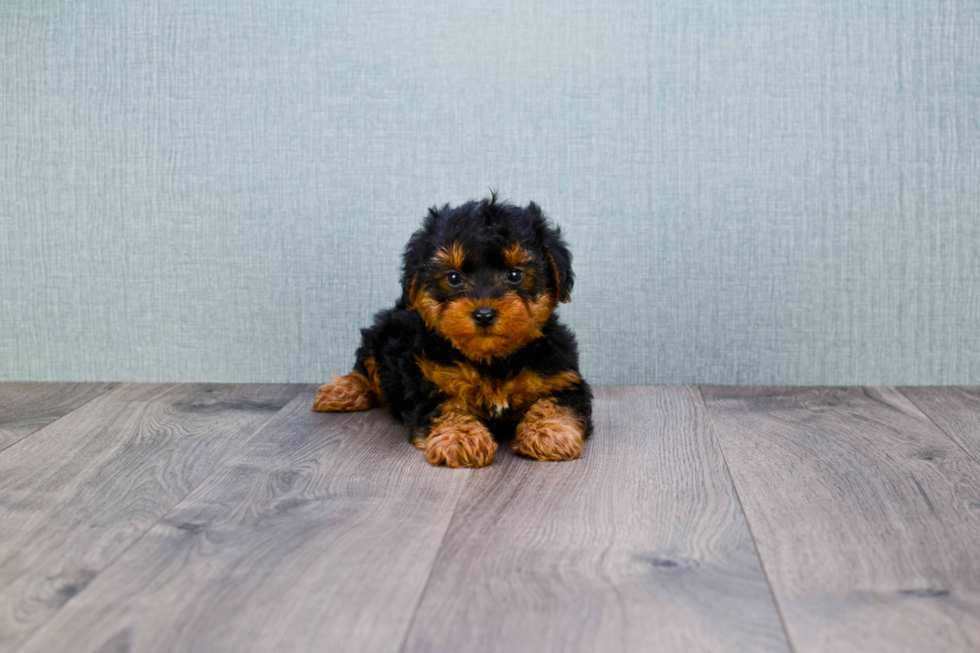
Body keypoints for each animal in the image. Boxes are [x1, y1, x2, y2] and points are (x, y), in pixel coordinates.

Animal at [314, 195, 588, 468]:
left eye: (514, 274)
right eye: (453, 278)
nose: (484, 314)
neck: (492, 360)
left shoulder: (562, 378)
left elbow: (557, 404)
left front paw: (549, 432)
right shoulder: (428, 382)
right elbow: (448, 408)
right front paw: (461, 438)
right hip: (383, 333)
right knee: (366, 365)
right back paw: (342, 391)